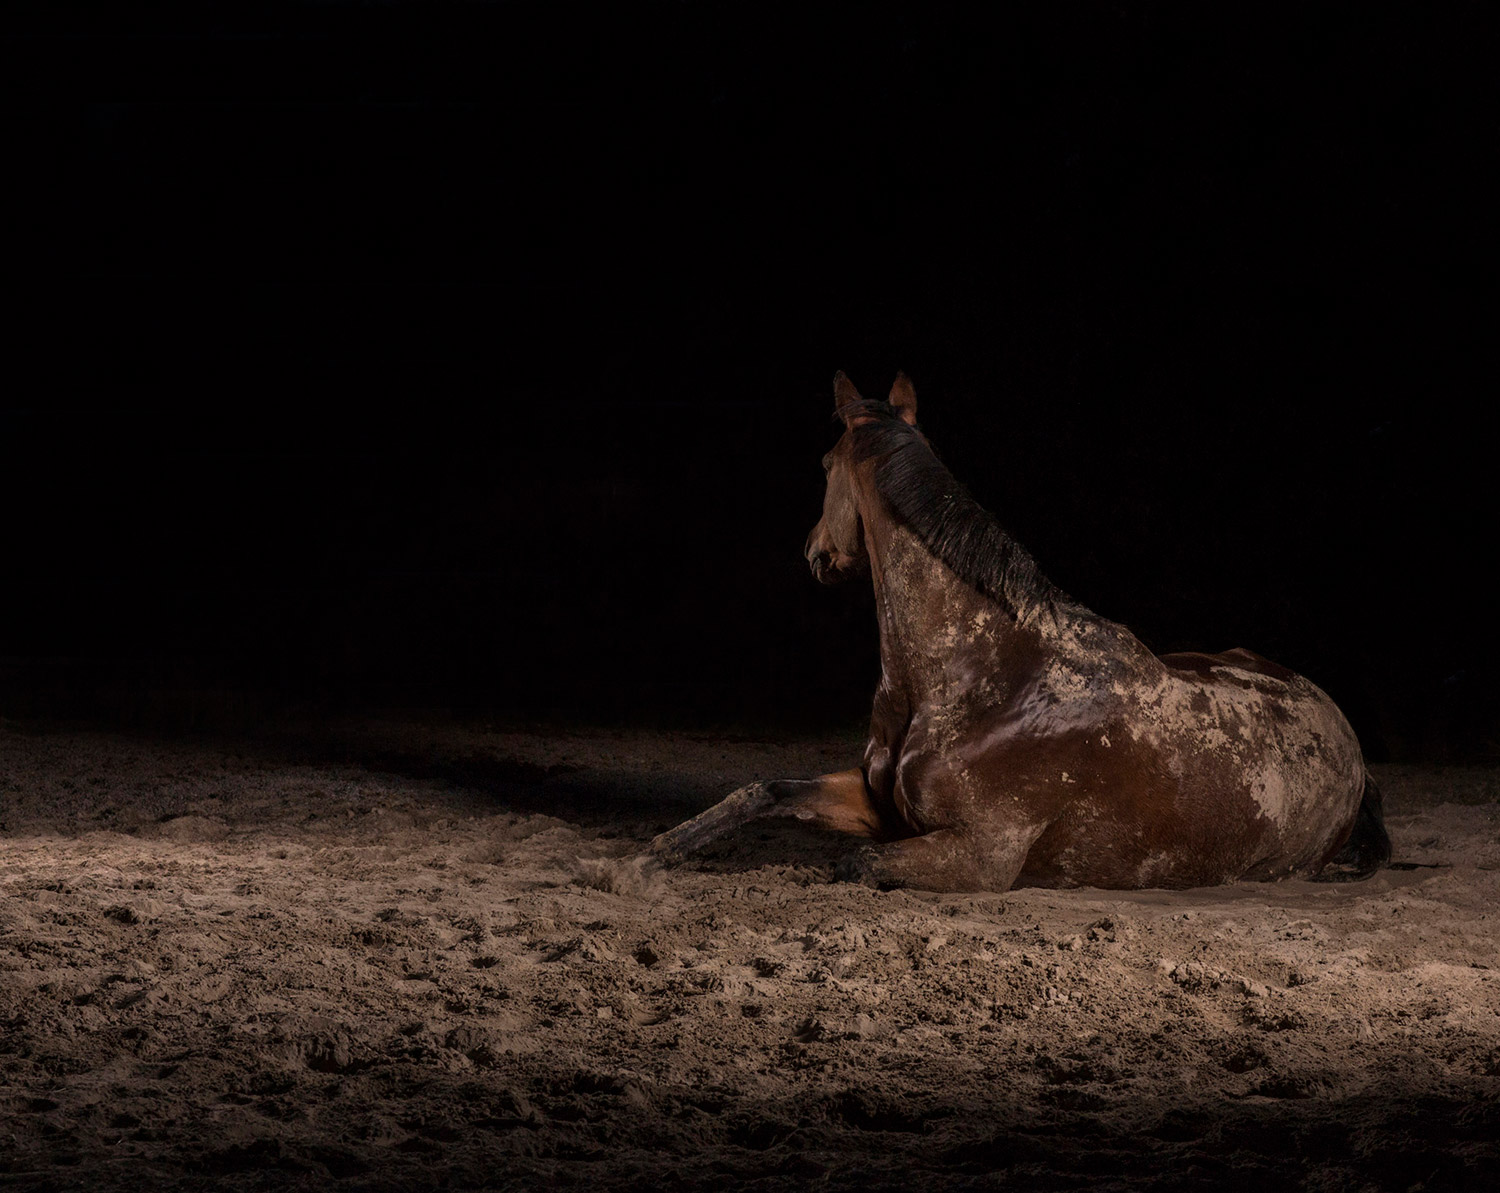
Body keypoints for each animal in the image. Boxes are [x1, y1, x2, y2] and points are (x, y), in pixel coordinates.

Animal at [651, 372, 1391, 892]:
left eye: (825, 465)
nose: (814, 552)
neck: (988, 679)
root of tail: (1352, 747)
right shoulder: (875, 799)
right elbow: (762, 791)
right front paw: (654, 854)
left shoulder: (979, 854)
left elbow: (853, 864)